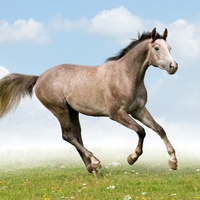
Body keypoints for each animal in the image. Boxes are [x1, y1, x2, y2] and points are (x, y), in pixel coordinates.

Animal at [0, 27, 178, 175]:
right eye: (157, 48)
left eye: (169, 48)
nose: (173, 66)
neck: (125, 76)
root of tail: (39, 78)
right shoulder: (117, 114)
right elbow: (141, 131)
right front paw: (132, 158)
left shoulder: (138, 110)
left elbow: (160, 129)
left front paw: (173, 161)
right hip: (59, 109)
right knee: (68, 135)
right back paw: (95, 161)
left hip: (72, 111)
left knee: (77, 136)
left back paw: (93, 169)